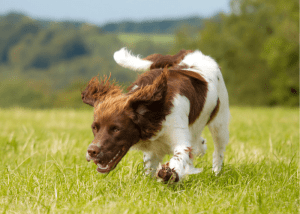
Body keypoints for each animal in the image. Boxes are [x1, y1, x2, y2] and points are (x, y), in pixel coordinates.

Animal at [82, 47, 230, 181]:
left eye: (116, 129)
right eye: (94, 127)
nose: (92, 151)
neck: (154, 112)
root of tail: (189, 52)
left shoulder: (180, 140)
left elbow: (178, 158)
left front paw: (169, 173)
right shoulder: (152, 149)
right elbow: (149, 169)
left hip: (220, 123)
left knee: (218, 151)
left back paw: (216, 173)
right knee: (199, 143)